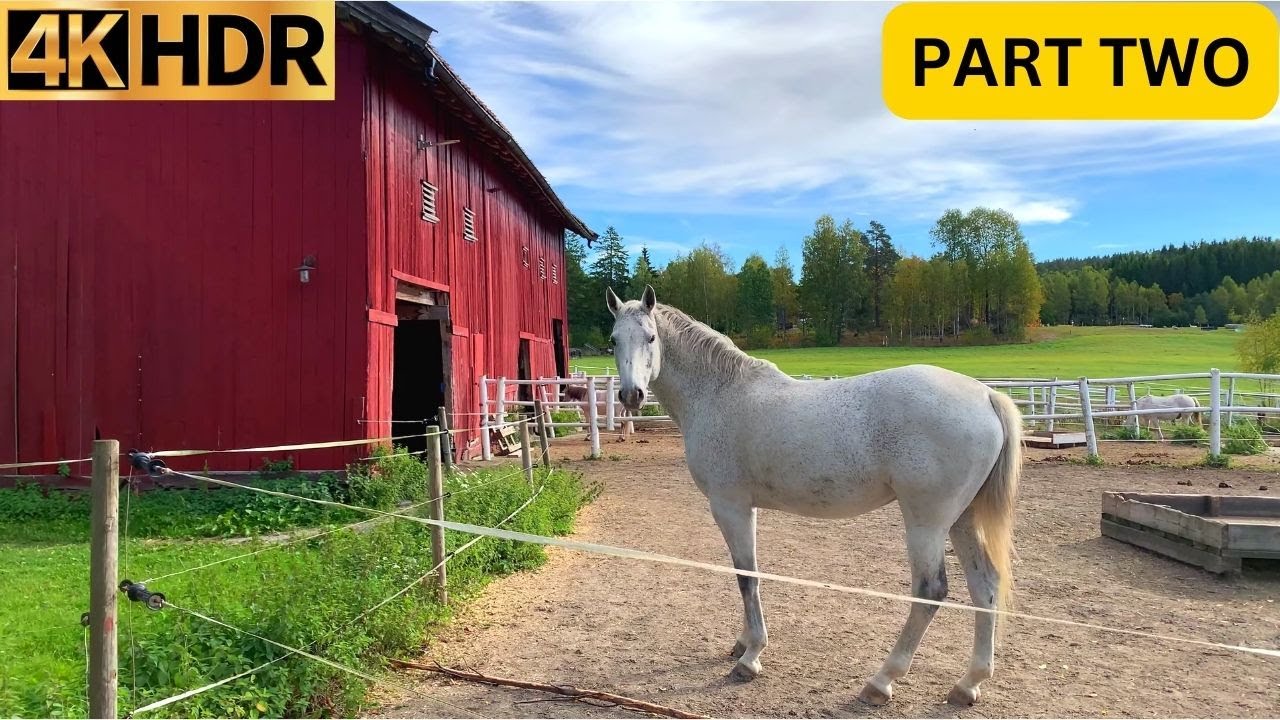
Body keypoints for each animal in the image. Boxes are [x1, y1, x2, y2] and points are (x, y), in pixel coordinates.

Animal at [605, 285, 1022, 707]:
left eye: (651, 338)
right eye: (614, 340)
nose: (631, 395)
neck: (720, 394)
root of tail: (986, 396)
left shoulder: (731, 507)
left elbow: (747, 577)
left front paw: (751, 657)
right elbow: (747, 575)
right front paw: (742, 644)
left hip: (927, 522)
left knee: (930, 591)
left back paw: (882, 680)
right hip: (962, 519)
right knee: (985, 586)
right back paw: (969, 683)